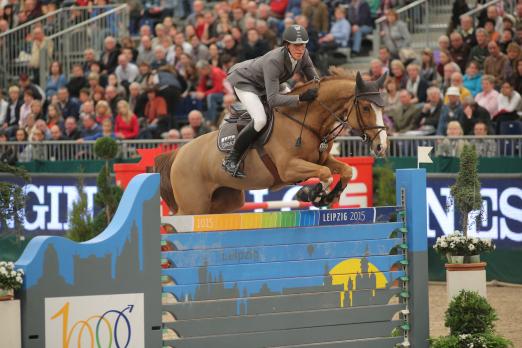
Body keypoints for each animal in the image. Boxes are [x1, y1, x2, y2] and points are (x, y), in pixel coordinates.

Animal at [153, 67, 386, 215]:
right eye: (366, 108)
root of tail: (178, 154)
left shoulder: (321, 159)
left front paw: (326, 197)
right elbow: (325, 174)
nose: (381, 146)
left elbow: (345, 170)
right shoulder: (289, 168)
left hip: (223, 201)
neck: (306, 120)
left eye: (382, 107)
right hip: (193, 206)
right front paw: (311, 194)